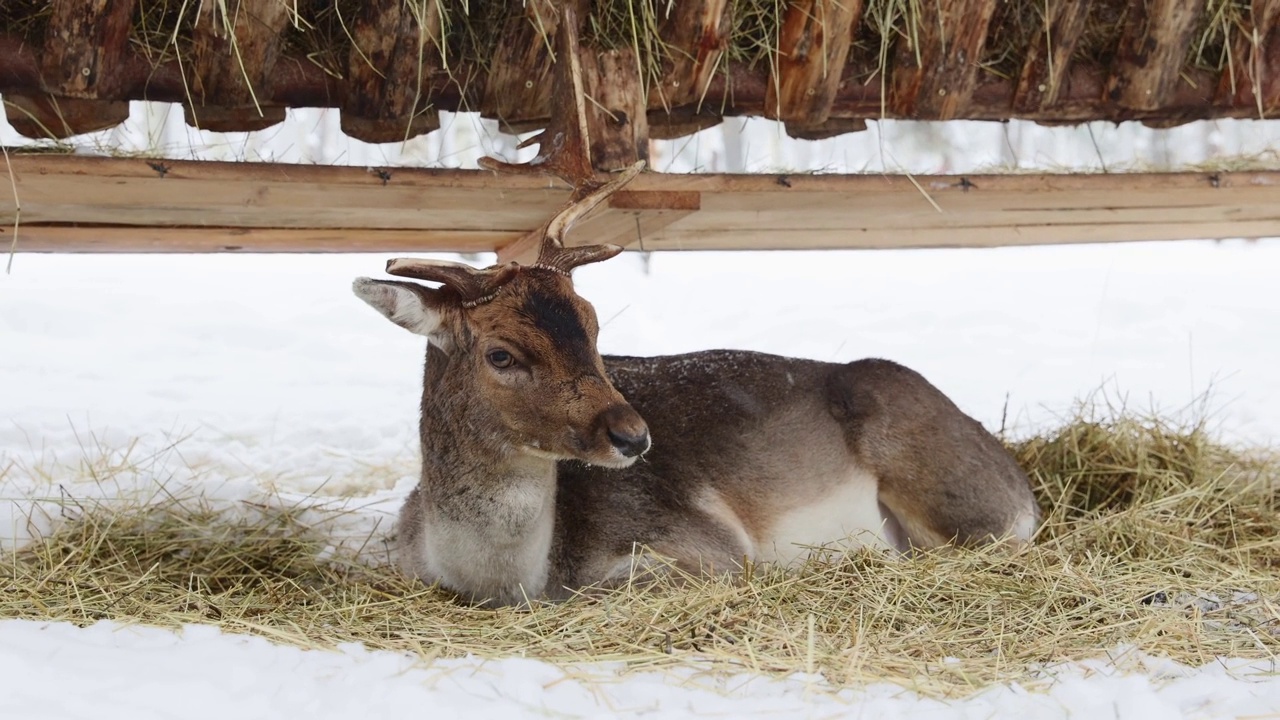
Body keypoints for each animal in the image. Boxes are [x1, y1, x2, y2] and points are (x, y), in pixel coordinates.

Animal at [353, 162, 1039, 604]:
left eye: (594, 325)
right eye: (500, 353)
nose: (633, 436)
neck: (503, 577)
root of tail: (1021, 482)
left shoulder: (707, 547)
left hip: (959, 499)